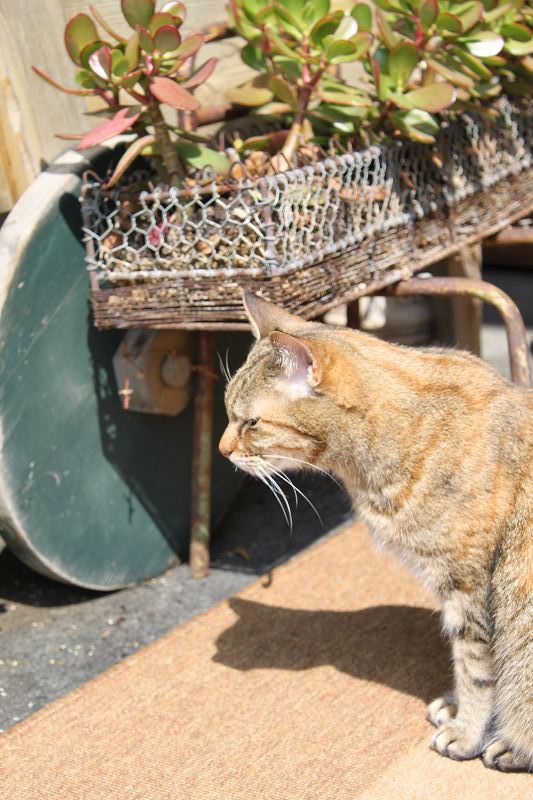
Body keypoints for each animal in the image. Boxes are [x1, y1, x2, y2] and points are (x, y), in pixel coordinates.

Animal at [219, 288, 532, 768]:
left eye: (250, 422)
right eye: (226, 411)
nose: (221, 449)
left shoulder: (470, 587)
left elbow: (477, 670)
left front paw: (468, 730)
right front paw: (456, 708)